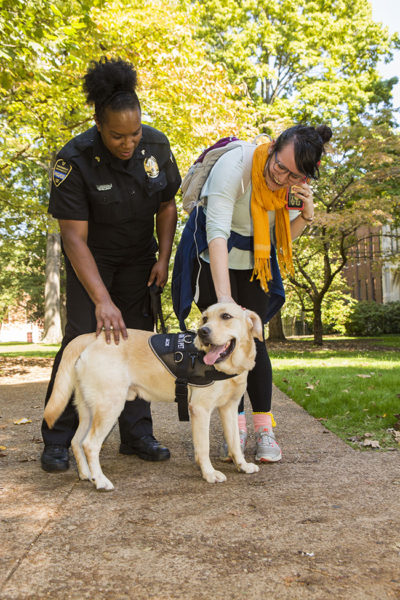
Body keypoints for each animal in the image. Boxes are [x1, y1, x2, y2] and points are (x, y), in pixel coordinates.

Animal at [44, 302, 262, 490]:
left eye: (226, 316)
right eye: (205, 318)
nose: (202, 332)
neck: (227, 367)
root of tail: (91, 336)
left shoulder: (229, 408)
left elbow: (235, 442)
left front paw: (242, 465)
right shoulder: (200, 409)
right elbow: (203, 447)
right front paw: (209, 473)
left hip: (89, 410)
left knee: (75, 441)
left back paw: (87, 475)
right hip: (109, 407)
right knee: (89, 444)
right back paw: (100, 480)